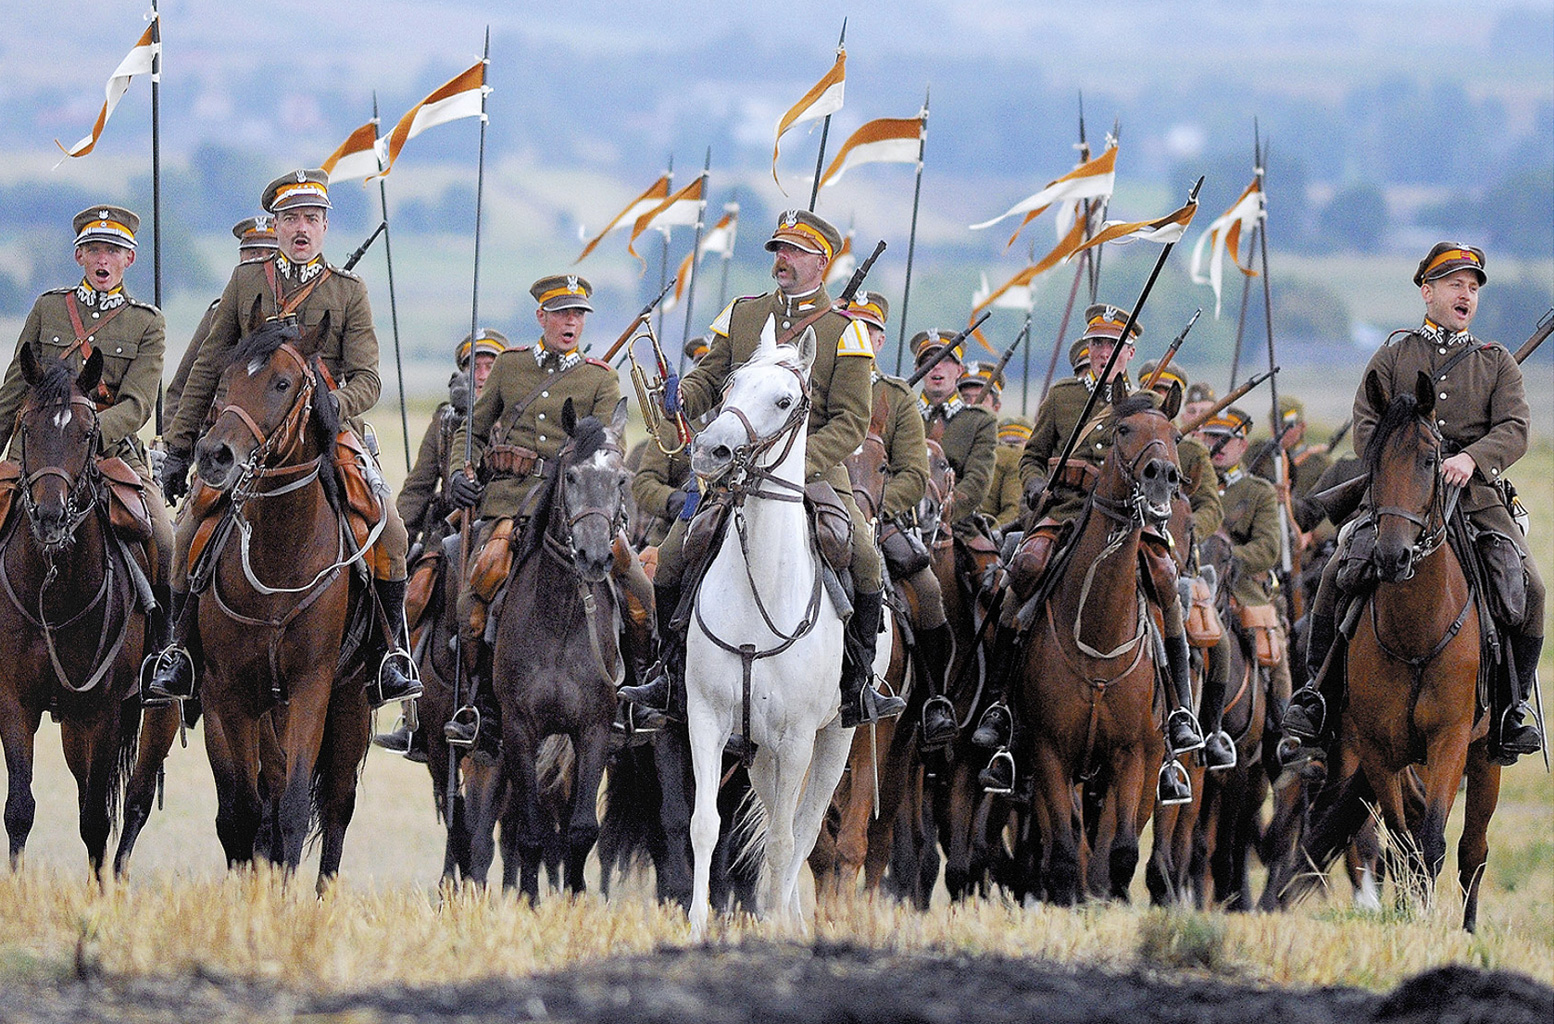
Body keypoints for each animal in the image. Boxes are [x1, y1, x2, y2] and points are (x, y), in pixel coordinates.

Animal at [0, 348, 146, 876]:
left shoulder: (103, 713)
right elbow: (19, 808)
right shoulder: (14, 702)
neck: (52, 592)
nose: (49, 517)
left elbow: (96, 820)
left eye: (87, 434)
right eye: (26, 427)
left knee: (130, 803)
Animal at [191, 312, 372, 888]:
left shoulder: (312, 686)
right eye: (225, 382)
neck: (279, 553)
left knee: (336, 807)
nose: (214, 456)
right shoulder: (226, 692)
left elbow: (291, 808)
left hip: (350, 703)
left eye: (282, 383)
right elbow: (243, 813)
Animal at [686, 318, 857, 938]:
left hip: (834, 741)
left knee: (802, 830)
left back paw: (790, 920)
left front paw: (780, 930)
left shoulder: (799, 738)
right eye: (730, 384)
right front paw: (696, 927)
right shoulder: (706, 719)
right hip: (759, 750)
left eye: (785, 400)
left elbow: (785, 840)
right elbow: (705, 825)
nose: (710, 450)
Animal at [1006, 394, 1174, 907]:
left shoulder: (1134, 754)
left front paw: (1109, 897)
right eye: (1123, 430)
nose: (1162, 475)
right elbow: (1063, 852)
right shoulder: (1049, 751)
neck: (1099, 633)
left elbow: (1119, 853)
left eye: (1175, 434)